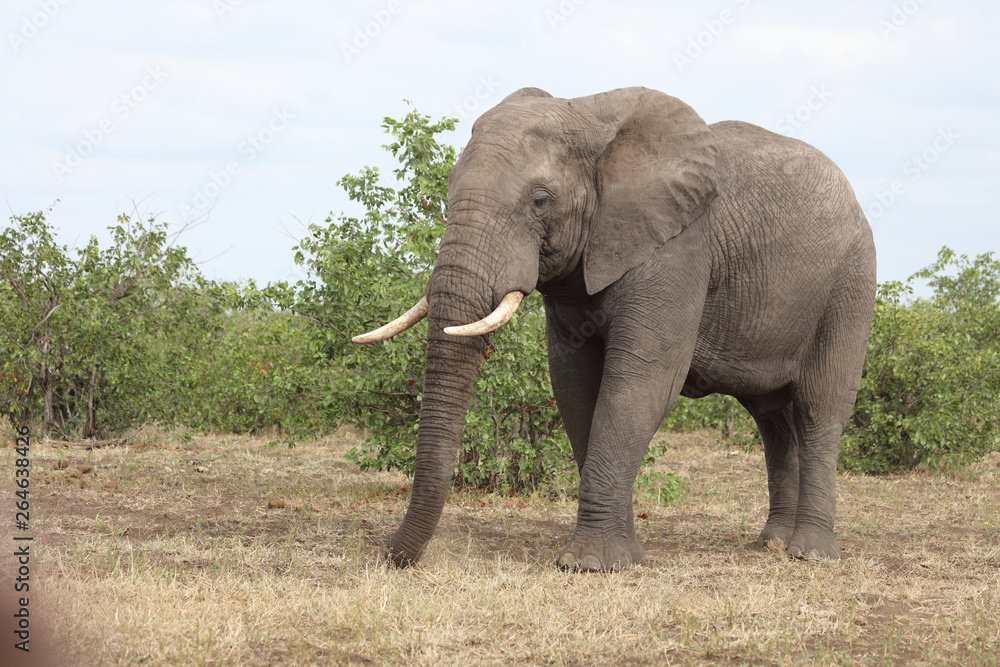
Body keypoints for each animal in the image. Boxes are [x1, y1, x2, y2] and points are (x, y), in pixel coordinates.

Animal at [353, 86, 876, 571]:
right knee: (771, 418)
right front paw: (622, 557)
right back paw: (771, 543)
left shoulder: (679, 248)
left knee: (818, 407)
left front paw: (588, 564)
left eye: (540, 201)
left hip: (851, 282)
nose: (390, 555)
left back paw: (810, 553)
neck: (588, 116)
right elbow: (575, 385)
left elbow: (639, 382)